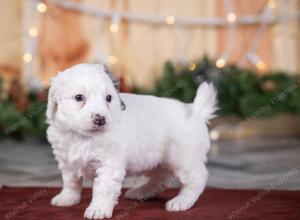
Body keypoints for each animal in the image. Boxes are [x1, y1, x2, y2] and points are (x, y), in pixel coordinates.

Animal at [46, 63, 216, 218]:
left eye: (108, 98)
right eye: (79, 97)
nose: (100, 119)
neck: (81, 136)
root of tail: (195, 110)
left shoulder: (109, 165)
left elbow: (103, 189)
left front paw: (98, 209)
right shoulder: (67, 162)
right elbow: (71, 181)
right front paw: (68, 198)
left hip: (183, 158)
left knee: (197, 179)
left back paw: (182, 201)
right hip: (156, 159)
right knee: (159, 179)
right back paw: (141, 192)